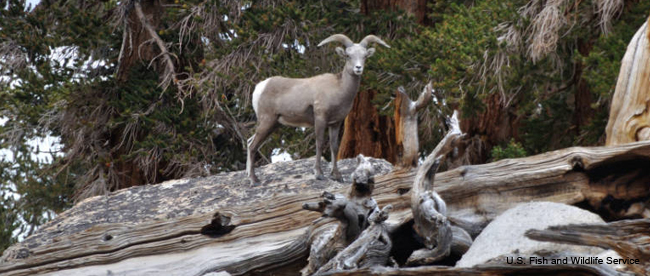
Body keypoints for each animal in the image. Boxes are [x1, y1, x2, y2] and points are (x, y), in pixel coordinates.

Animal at [243, 35, 384, 185]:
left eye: (364, 56)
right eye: (348, 56)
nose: (358, 68)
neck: (339, 88)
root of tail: (260, 87)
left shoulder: (335, 123)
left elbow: (334, 147)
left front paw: (337, 176)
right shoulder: (320, 119)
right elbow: (320, 143)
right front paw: (319, 174)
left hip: (273, 124)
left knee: (250, 142)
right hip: (267, 121)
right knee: (252, 146)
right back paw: (254, 180)